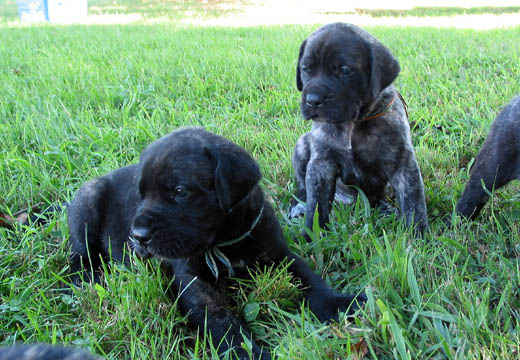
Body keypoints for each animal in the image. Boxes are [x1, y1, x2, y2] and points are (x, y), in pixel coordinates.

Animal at [66, 126, 366, 360]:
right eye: (140, 195)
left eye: (180, 191)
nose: (137, 236)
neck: (223, 243)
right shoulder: (195, 283)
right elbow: (222, 323)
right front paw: (249, 353)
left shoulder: (278, 254)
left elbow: (310, 281)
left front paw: (341, 303)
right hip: (87, 201)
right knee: (78, 255)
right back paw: (89, 279)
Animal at [286, 22, 428, 239]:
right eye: (305, 68)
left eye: (344, 70)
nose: (313, 100)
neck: (352, 124)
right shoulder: (321, 164)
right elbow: (316, 204)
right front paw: (311, 236)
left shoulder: (402, 163)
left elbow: (413, 200)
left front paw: (417, 235)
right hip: (302, 145)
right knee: (302, 186)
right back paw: (297, 206)